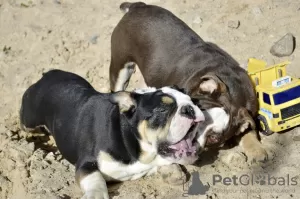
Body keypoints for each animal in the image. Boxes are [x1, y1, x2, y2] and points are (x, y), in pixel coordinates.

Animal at [19, 69, 205, 198]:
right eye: (162, 110)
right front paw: (95, 195)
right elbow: (95, 179)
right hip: (29, 119)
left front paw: (173, 171)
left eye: (193, 101)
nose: (189, 108)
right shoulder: (86, 163)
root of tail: (47, 75)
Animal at [109, 1, 268, 163]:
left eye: (214, 138)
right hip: (121, 67)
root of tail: (137, 6)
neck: (234, 94)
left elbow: (248, 131)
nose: (191, 138)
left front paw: (256, 150)